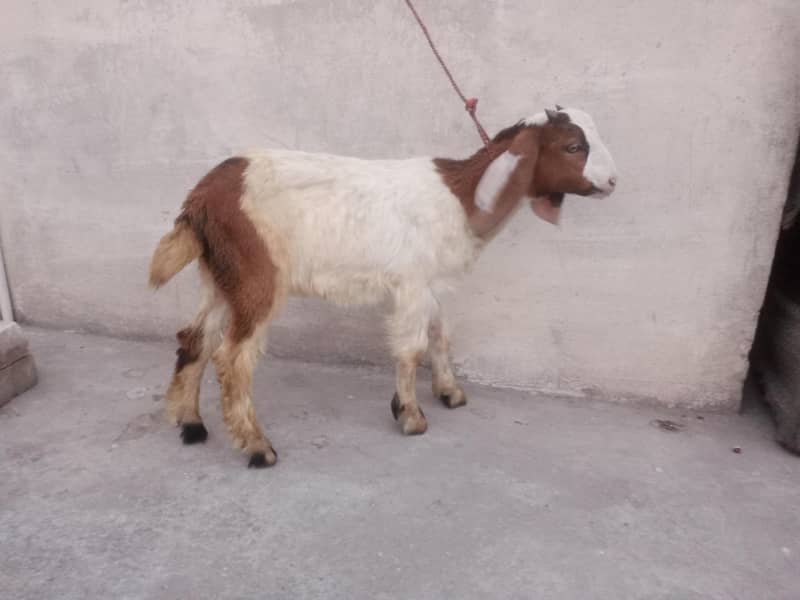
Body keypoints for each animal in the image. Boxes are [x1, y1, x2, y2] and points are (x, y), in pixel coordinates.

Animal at [149, 107, 618, 468]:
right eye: (573, 146)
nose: (613, 182)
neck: (462, 198)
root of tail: (201, 198)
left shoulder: (434, 284)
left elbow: (440, 337)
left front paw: (449, 392)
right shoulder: (412, 283)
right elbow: (410, 349)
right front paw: (410, 415)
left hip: (219, 275)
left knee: (195, 338)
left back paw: (190, 423)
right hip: (255, 275)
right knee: (232, 358)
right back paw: (257, 447)